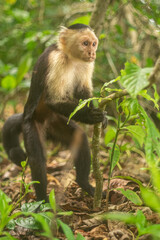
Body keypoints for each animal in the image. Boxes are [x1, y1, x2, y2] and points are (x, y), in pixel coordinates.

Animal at [2, 23, 106, 201]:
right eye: (85, 43)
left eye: (94, 44)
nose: (92, 53)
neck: (71, 57)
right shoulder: (57, 60)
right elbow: (54, 100)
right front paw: (91, 116)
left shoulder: (87, 64)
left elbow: (83, 93)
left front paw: (98, 116)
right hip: (31, 124)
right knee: (37, 159)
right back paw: (42, 201)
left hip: (55, 122)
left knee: (79, 137)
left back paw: (83, 183)